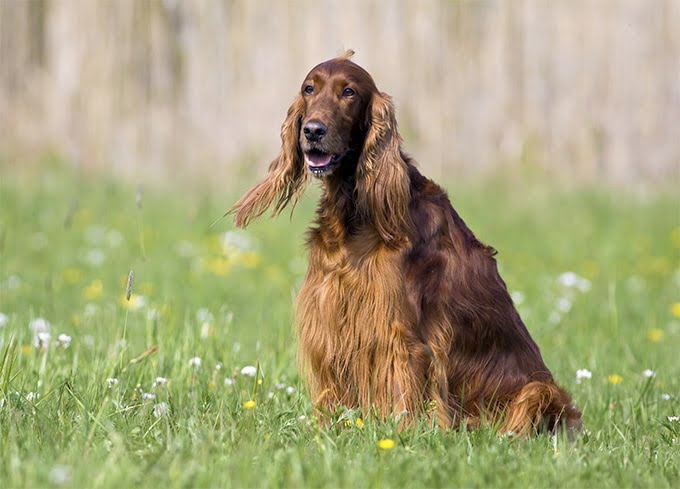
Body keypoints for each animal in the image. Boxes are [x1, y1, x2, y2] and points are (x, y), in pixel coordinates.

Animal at [228, 50, 580, 434]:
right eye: (309, 89)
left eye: (349, 92)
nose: (313, 130)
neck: (355, 213)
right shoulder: (329, 320)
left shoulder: (401, 333)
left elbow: (404, 393)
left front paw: (402, 437)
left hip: (538, 391)